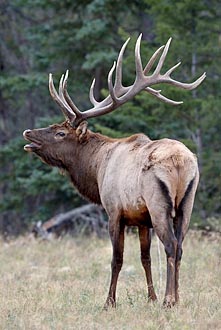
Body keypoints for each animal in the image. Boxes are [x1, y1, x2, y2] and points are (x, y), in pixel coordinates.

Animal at [22, 34, 205, 308]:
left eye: (60, 133)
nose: (28, 133)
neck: (97, 169)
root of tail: (181, 162)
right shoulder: (141, 219)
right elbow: (145, 258)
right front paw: (150, 297)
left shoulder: (114, 211)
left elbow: (116, 259)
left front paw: (109, 301)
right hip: (187, 203)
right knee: (181, 246)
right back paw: (176, 298)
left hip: (159, 203)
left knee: (171, 245)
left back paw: (169, 300)